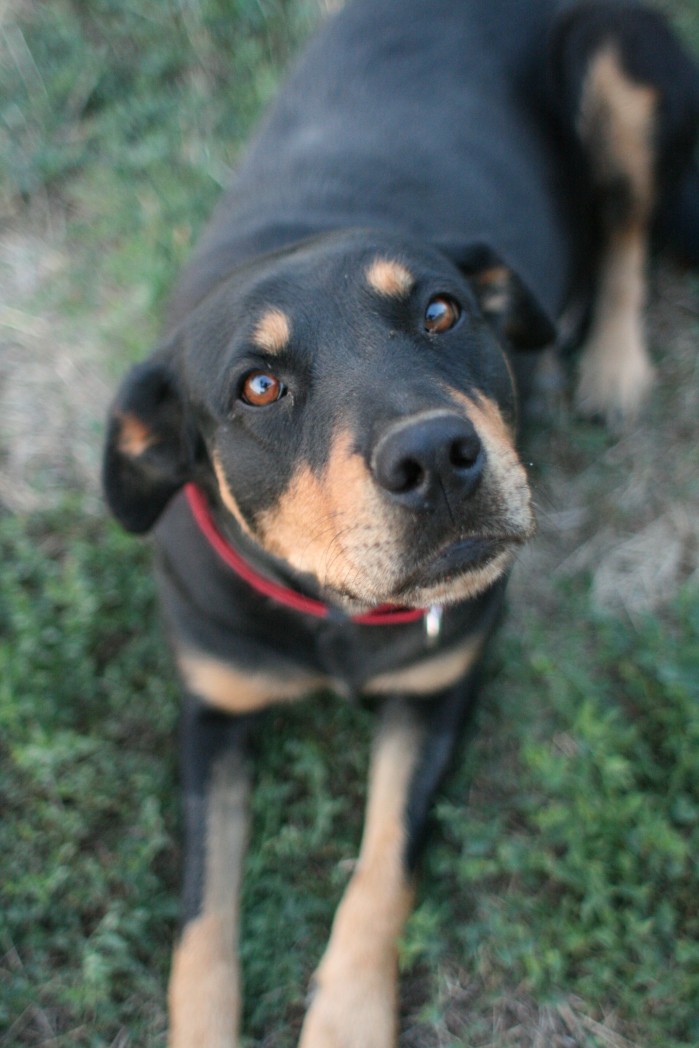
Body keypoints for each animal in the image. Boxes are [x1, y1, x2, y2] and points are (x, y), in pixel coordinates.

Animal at [102, 4, 699, 1043]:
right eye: (258, 387)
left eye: (441, 310)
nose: (436, 458)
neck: (329, 607)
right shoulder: (212, 711)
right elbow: (202, 923)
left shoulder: (438, 691)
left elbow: (382, 869)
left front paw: (344, 1018)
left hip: (612, 60)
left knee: (624, 224)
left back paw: (609, 362)